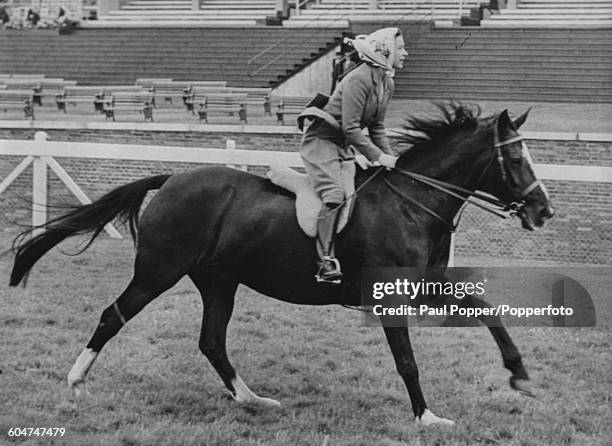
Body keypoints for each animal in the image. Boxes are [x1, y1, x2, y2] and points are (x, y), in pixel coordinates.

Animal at [9, 103, 556, 426]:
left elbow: (486, 309)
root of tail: (172, 180)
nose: (543, 211)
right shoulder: (390, 299)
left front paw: (520, 375)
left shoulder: (427, 286)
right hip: (158, 272)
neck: (413, 202)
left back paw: (251, 399)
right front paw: (426, 417)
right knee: (113, 315)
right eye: (517, 160)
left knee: (212, 341)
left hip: (219, 282)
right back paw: (76, 381)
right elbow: (408, 361)